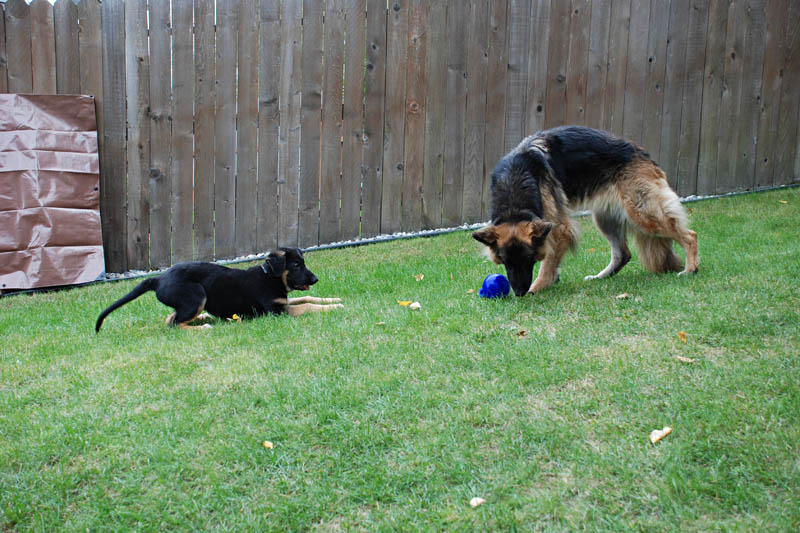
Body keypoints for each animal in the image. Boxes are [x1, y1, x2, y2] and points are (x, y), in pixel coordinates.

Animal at [96, 247, 340, 330]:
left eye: (303, 263)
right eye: (296, 265)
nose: (315, 278)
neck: (271, 278)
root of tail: (158, 279)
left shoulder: (284, 302)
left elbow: (308, 298)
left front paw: (334, 300)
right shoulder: (277, 311)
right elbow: (306, 305)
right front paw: (333, 308)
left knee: (170, 318)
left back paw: (205, 318)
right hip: (196, 294)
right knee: (174, 324)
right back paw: (203, 327)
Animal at [472, 126, 696, 298]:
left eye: (529, 259)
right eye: (505, 262)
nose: (519, 293)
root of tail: (642, 153)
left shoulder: (559, 228)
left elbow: (548, 262)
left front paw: (538, 286)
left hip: (642, 212)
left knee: (690, 235)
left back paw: (691, 268)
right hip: (606, 219)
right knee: (623, 254)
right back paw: (600, 277)